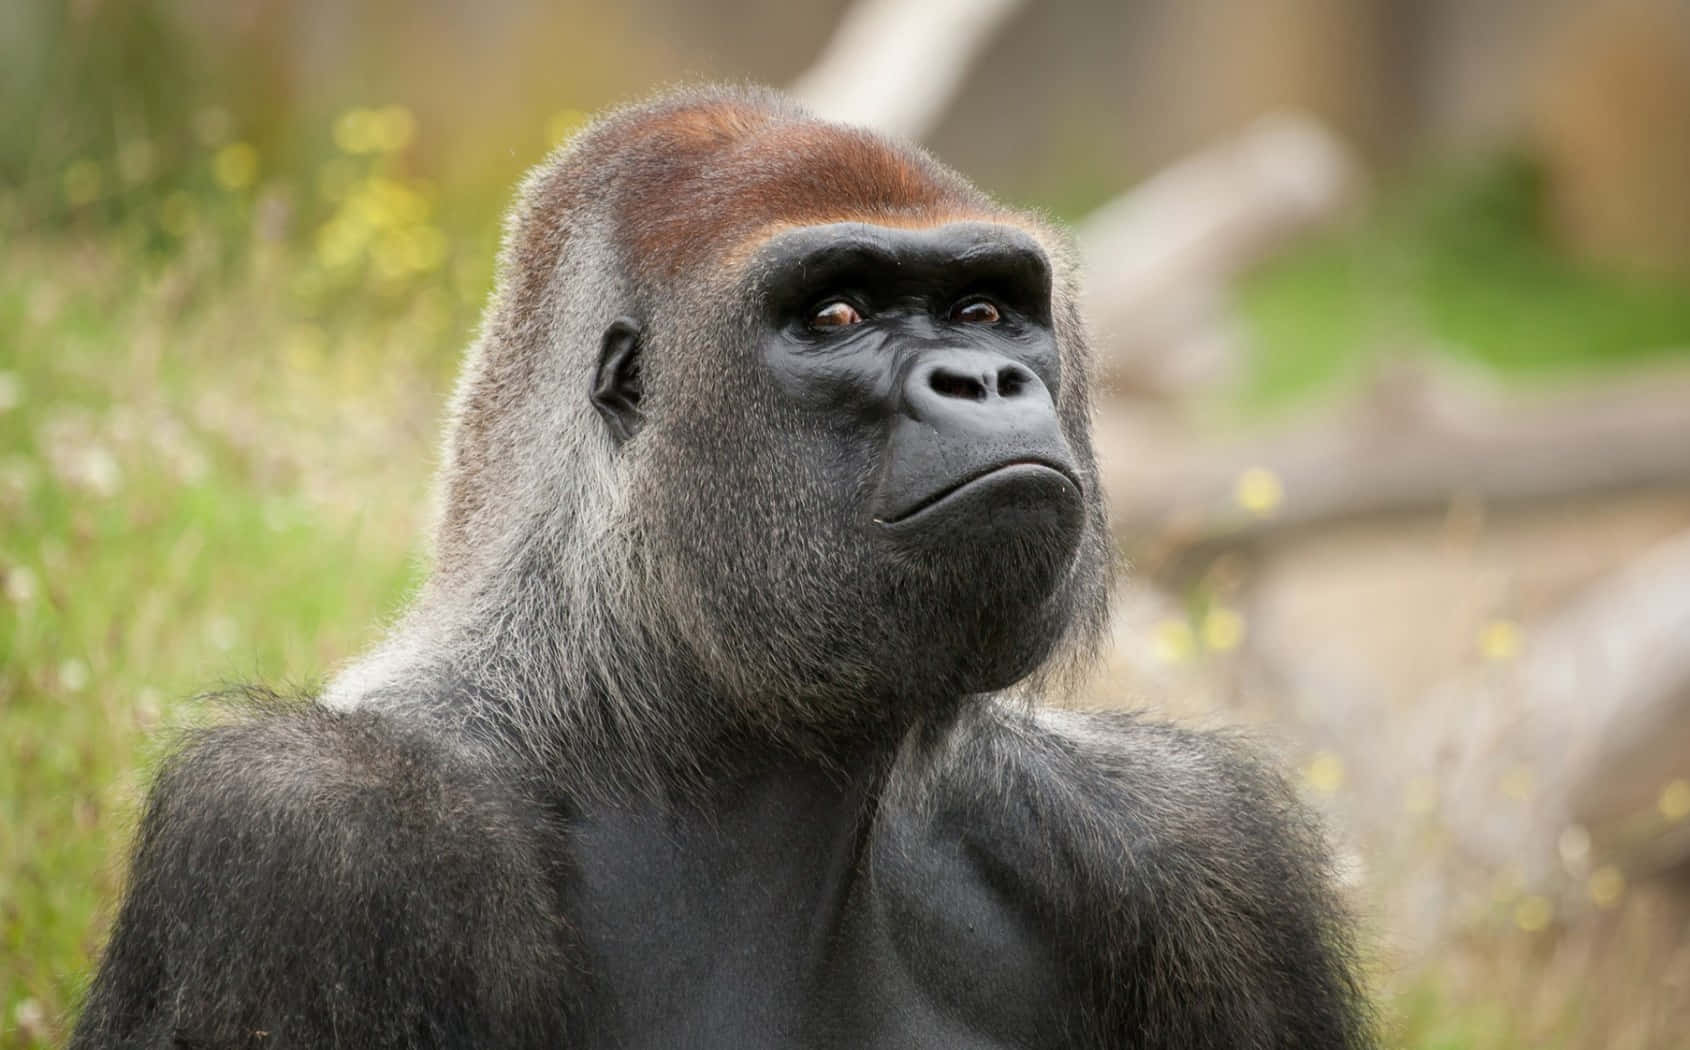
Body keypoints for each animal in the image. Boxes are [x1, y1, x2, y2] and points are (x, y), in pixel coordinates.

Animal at [76, 90, 1372, 1048]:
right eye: (837, 313)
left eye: (986, 309)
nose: (987, 378)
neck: (638, 714)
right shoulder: (314, 838)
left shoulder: (1187, 839)